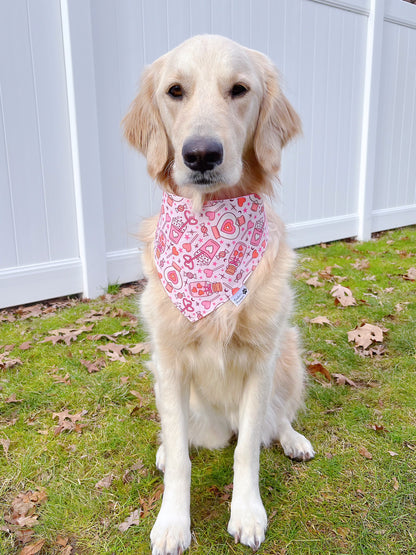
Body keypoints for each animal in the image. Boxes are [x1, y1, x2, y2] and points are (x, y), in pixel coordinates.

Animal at [123, 35, 316, 555]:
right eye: (175, 90)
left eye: (239, 89)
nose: (201, 155)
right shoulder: (168, 361)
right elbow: (183, 460)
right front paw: (172, 523)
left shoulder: (261, 359)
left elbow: (248, 448)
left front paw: (247, 513)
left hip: (289, 355)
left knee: (275, 419)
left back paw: (293, 439)